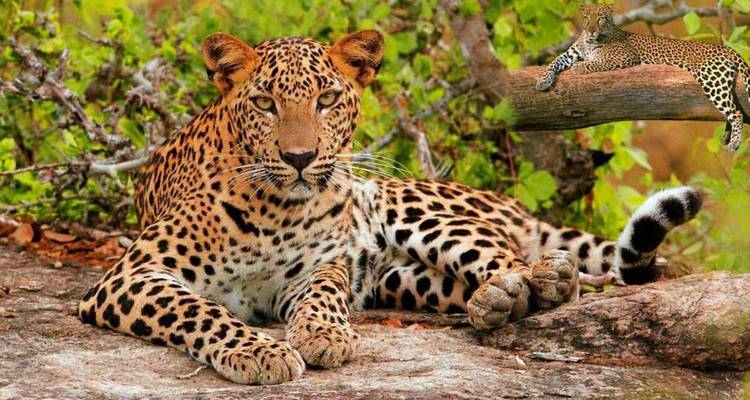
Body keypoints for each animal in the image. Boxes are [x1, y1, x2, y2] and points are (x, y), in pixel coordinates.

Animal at [78, 29, 704, 385]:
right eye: (265, 103)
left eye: (327, 99)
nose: (301, 157)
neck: (276, 208)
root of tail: (508, 202)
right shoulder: (130, 275)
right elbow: (200, 310)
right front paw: (258, 350)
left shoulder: (317, 266)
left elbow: (324, 293)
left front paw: (321, 335)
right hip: (402, 279)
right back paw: (496, 302)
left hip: (412, 208)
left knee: (519, 259)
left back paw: (535, 281)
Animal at [536, 4, 750, 151]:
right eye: (587, 17)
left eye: (601, 18)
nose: (591, 30)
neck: (589, 42)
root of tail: (726, 48)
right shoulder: (570, 53)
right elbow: (554, 62)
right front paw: (542, 81)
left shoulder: (624, 57)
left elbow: (596, 63)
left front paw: (579, 68)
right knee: (734, 108)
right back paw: (727, 137)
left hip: (712, 80)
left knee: (736, 112)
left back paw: (734, 143)